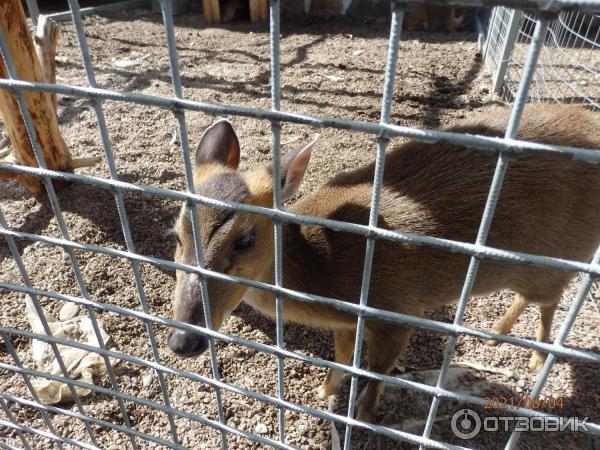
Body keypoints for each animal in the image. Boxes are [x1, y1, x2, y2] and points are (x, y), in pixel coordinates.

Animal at [166, 105, 600, 422]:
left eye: (245, 240)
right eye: (176, 235)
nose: (182, 341)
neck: (325, 265)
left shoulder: (397, 309)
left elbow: (376, 371)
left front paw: (363, 416)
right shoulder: (348, 321)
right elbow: (343, 359)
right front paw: (323, 392)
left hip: (562, 256)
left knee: (550, 302)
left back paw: (537, 356)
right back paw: (496, 332)